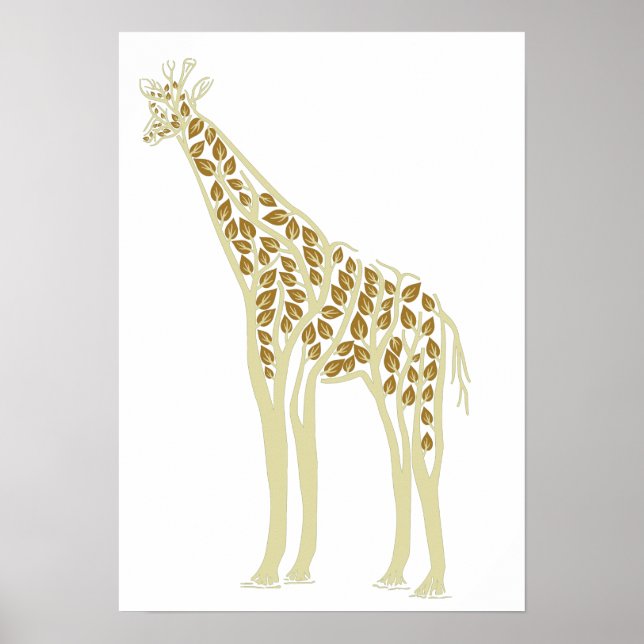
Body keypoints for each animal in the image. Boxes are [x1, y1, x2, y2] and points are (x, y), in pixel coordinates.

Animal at [138, 58, 470, 597]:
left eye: (178, 108)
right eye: (152, 105)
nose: (146, 134)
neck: (260, 263)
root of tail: (444, 319)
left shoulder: (285, 359)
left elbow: (286, 450)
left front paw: (269, 572)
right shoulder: (282, 365)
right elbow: (296, 449)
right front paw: (293, 568)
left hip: (416, 381)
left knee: (426, 459)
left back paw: (430, 584)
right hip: (387, 385)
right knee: (402, 460)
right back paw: (395, 576)